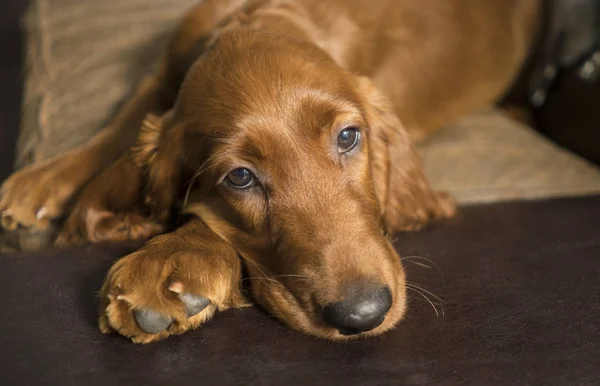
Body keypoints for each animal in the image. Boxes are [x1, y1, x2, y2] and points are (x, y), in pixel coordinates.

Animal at [0, 0, 540, 344]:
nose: (362, 315)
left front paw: (170, 258)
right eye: (239, 178)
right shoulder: (166, 69)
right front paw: (38, 183)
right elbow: (124, 123)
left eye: (349, 137)